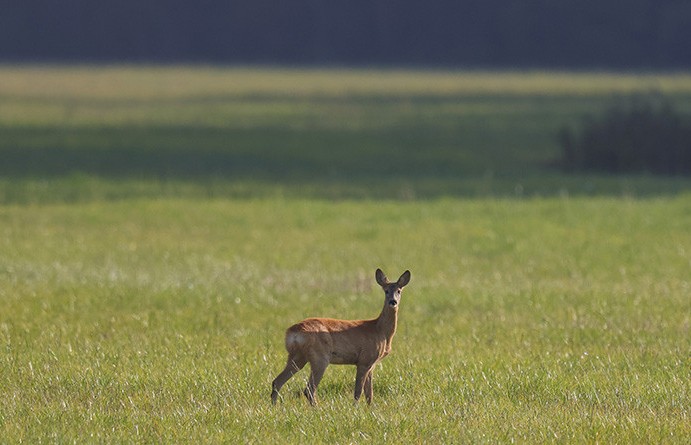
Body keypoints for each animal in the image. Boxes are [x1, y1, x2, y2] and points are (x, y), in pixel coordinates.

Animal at [270, 268, 410, 404]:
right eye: (386, 291)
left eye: (399, 290)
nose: (393, 301)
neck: (379, 330)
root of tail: (292, 333)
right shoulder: (364, 360)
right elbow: (358, 392)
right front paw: (355, 409)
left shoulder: (372, 364)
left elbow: (369, 394)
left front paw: (370, 409)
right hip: (319, 357)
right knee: (309, 390)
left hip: (297, 357)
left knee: (277, 382)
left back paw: (274, 407)